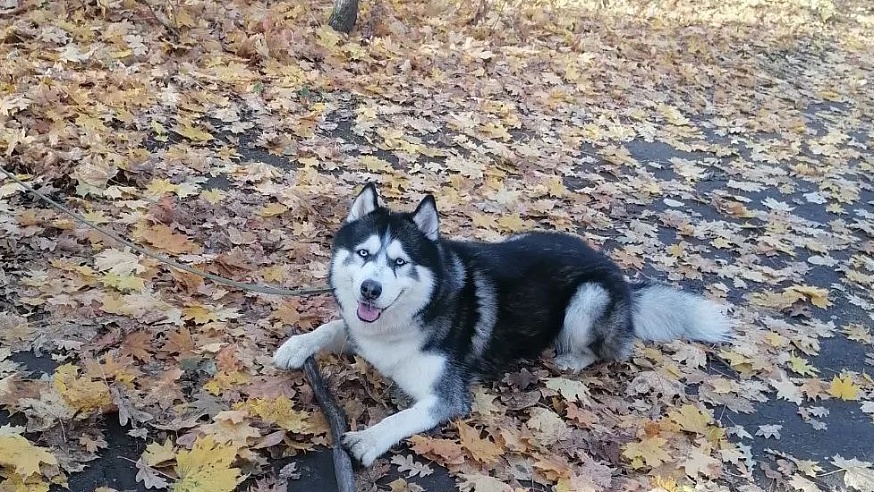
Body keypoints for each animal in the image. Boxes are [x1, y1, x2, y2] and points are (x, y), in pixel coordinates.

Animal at [274, 184, 728, 466]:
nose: (370, 290)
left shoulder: (447, 397)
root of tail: (621, 278)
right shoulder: (363, 332)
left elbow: (402, 418)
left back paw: (570, 360)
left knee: (605, 350)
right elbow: (332, 327)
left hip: (589, 297)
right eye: (364, 254)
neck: (416, 314)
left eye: (400, 262)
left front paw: (369, 439)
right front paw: (297, 345)